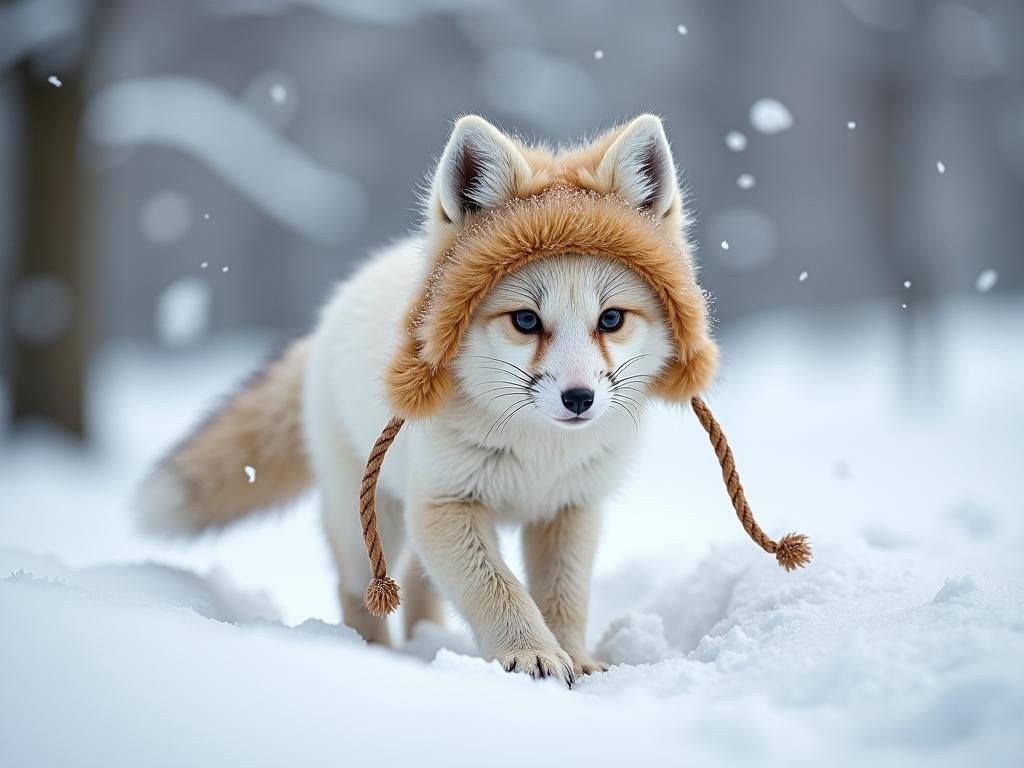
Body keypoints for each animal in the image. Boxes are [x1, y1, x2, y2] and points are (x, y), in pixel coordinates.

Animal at [137, 114, 718, 688]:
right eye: (526, 321)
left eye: (612, 319)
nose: (579, 398)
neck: (538, 453)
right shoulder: (444, 503)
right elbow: (499, 591)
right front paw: (531, 654)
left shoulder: (568, 508)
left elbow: (564, 598)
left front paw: (574, 659)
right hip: (372, 522)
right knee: (357, 592)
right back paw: (372, 656)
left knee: (419, 585)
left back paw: (426, 637)